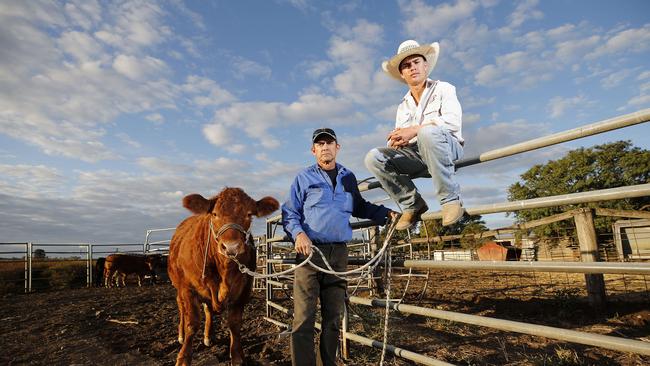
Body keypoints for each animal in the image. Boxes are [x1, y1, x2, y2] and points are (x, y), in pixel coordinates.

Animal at [167, 189, 276, 366]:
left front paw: (237, 356)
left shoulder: (244, 290)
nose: (231, 246)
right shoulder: (188, 289)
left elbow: (235, 324)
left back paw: (208, 336)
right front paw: (183, 358)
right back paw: (181, 336)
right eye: (215, 214)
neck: (225, 272)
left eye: (249, 214)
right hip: (179, 287)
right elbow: (192, 323)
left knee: (208, 309)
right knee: (182, 308)